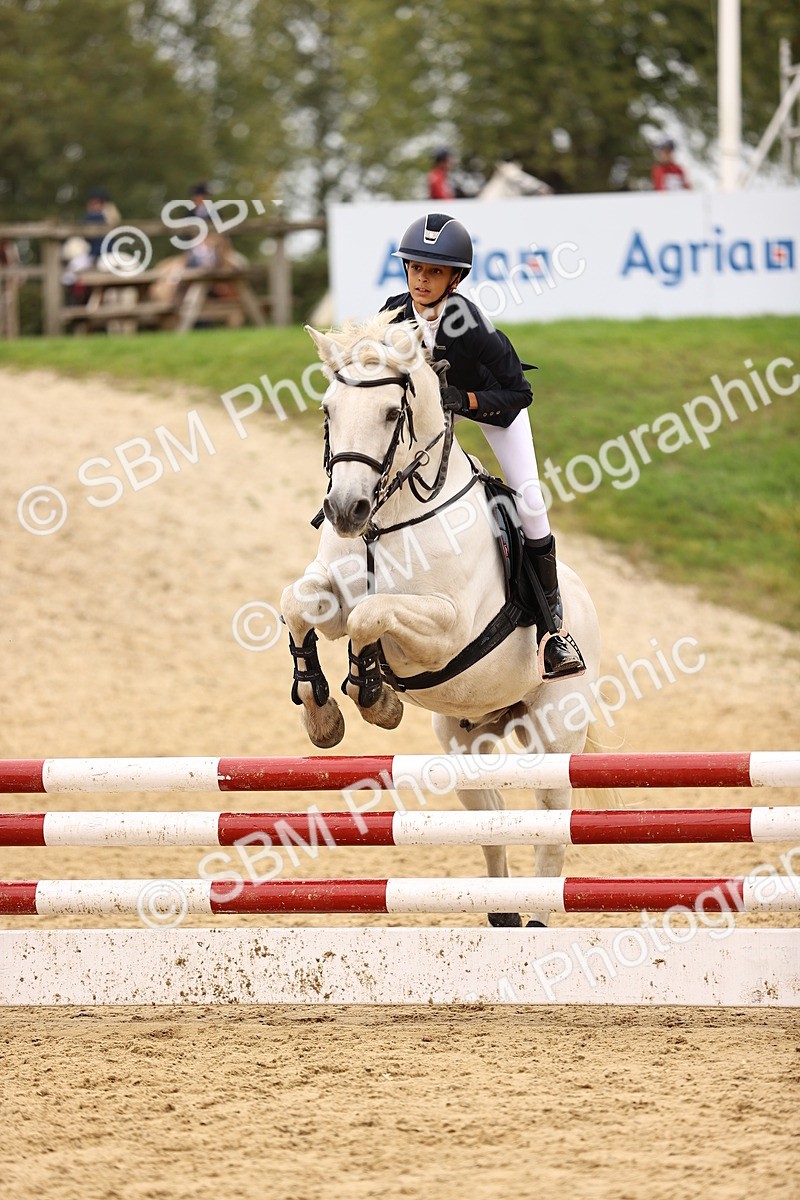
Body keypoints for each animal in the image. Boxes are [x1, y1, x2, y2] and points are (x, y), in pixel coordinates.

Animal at [280, 310, 601, 926]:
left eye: (391, 413)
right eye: (328, 410)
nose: (344, 511)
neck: (389, 519)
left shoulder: (444, 631)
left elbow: (371, 616)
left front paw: (374, 695)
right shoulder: (330, 593)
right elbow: (300, 604)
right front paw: (321, 710)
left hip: (554, 735)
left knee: (552, 827)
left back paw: (537, 920)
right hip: (464, 739)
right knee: (491, 821)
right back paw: (503, 914)